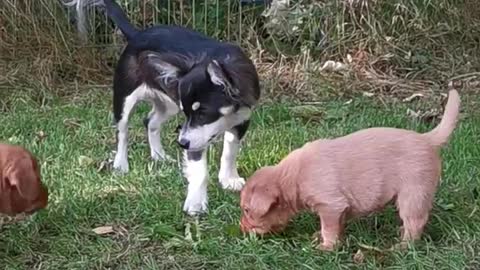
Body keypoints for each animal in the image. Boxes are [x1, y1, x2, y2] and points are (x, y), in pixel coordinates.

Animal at [64, 0, 258, 215]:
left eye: (203, 113)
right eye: (190, 113)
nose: (181, 143)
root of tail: (137, 34)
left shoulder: (241, 120)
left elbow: (230, 152)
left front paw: (229, 180)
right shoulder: (194, 137)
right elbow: (200, 170)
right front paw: (196, 203)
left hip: (168, 104)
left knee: (150, 121)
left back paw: (159, 156)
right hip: (124, 97)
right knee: (122, 131)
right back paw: (121, 164)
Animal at [240, 89, 462, 250]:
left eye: (247, 210)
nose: (241, 228)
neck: (291, 177)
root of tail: (426, 139)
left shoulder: (330, 205)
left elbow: (329, 228)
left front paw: (327, 247)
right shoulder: (340, 208)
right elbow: (337, 226)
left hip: (413, 193)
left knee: (415, 222)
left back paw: (404, 246)